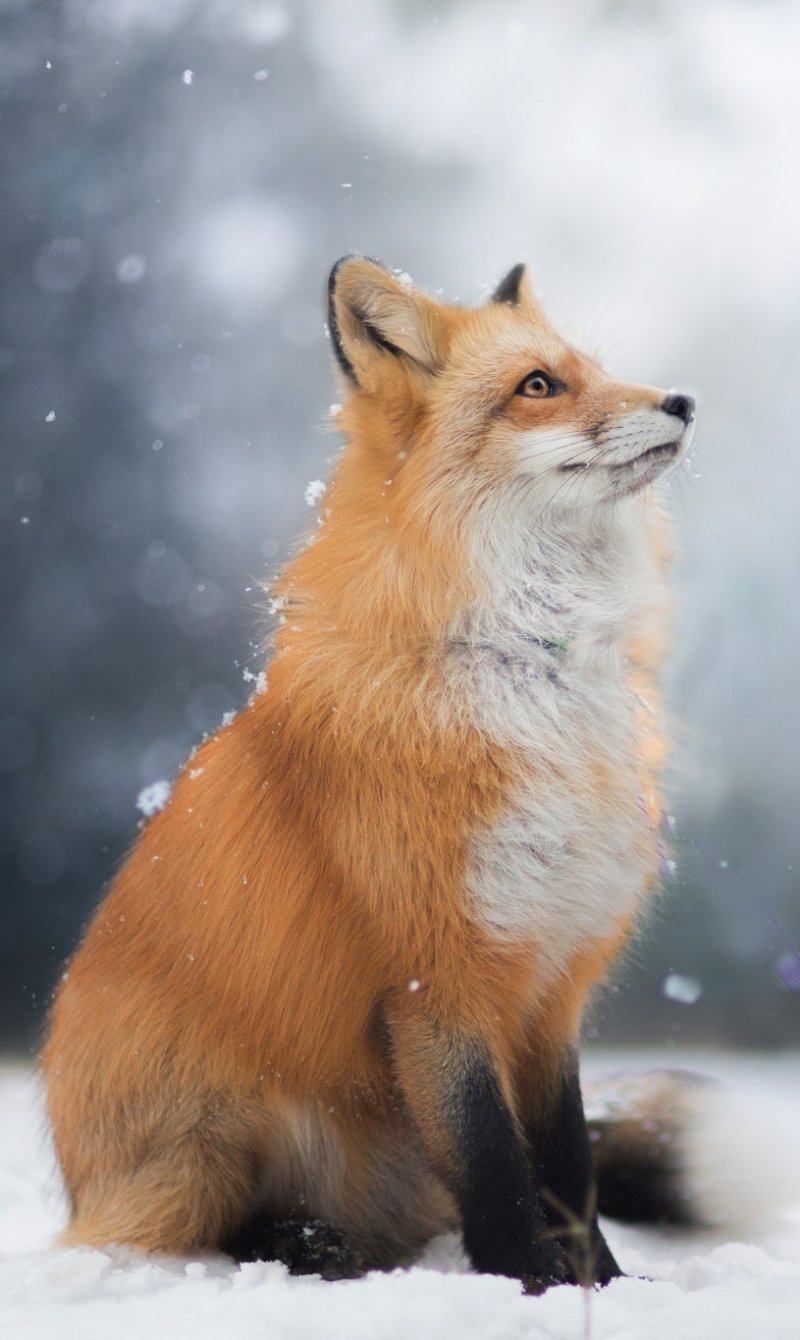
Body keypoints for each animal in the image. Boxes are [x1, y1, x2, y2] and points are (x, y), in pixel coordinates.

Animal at [44, 256, 703, 1293]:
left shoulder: (551, 983)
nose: (681, 400)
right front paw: (526, 1286)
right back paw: (301, 1245)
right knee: (189, 1231)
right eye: (539, 386)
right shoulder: (436, 979)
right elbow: (494, 1163)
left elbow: (568, 1165)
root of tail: (77, 1183)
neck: (531, 671)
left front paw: (605, 1287)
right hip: (211, 1135)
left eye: (594, 370)